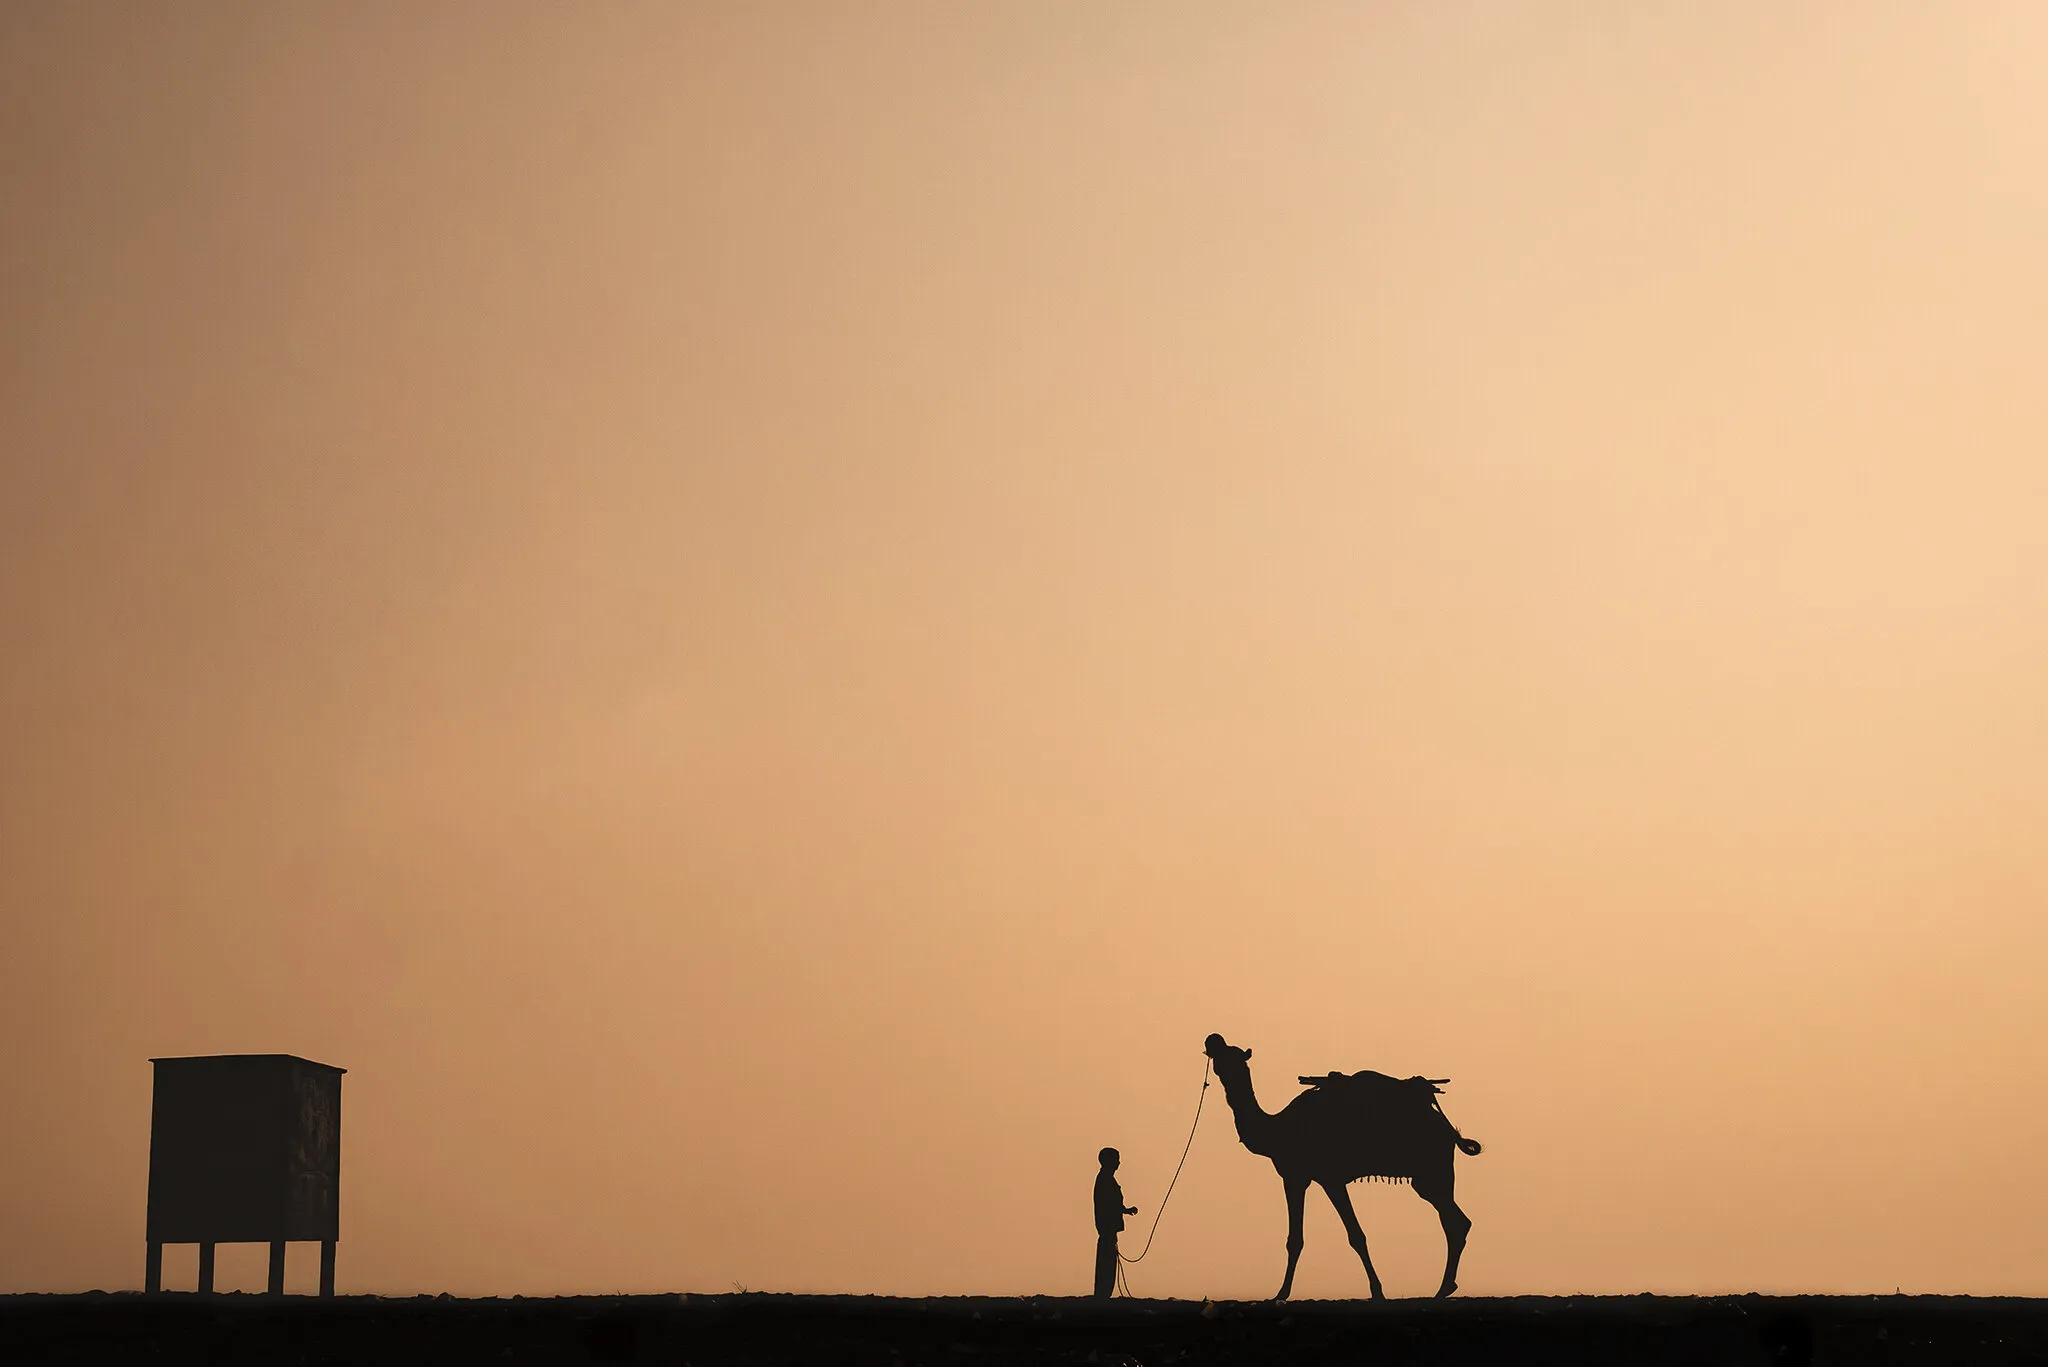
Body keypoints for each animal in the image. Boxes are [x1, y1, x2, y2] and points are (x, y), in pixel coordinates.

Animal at [1203, 1032, 1482, 1301]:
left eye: (1236, 1057)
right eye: (1218, 1056)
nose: (1213, 1039)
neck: (1277, 1130)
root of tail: (1448, 1129)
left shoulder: (1329, 1178)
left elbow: (1356, 1235)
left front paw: (1377, 1291)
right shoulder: (1295, 1177)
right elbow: (1295, 1240)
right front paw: (1281, 1293)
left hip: (1434, 1169)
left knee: (1455, 1222)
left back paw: (1443, 1288)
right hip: (1427, 1178)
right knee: (1456, 1220)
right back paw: (1445, 1287)